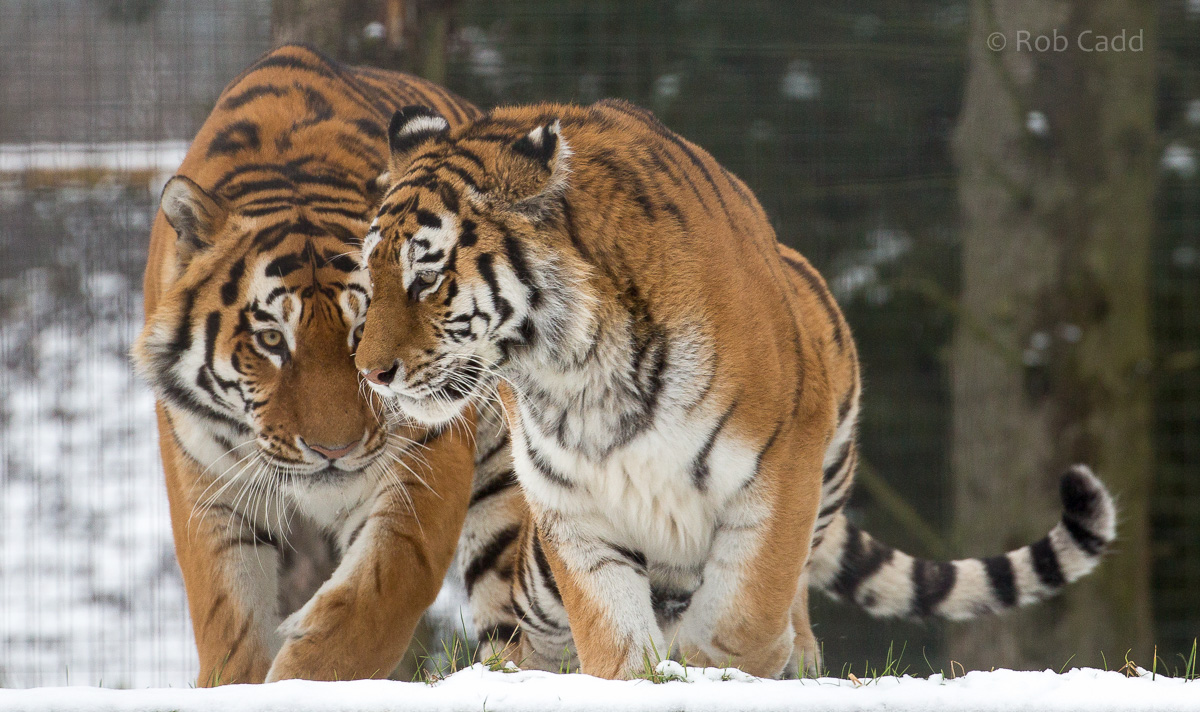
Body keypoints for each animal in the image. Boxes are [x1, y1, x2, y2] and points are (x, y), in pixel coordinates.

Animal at [132, 44, 486, 685]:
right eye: (272, 339)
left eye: (362, 331)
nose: (333, 450)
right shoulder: (205, 477)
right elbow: (227, 615)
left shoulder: (431, 446)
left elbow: (382, 590)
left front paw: (304, 676)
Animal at [351, 99, 1118, 680]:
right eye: (372, 276)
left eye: (427, 276)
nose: (369, 372)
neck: (573, 371)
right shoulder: (570, 503)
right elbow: (612, 630)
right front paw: (640, 677)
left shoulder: (778, 470)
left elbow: (746, 610)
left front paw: (728, 670)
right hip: (540, 578)